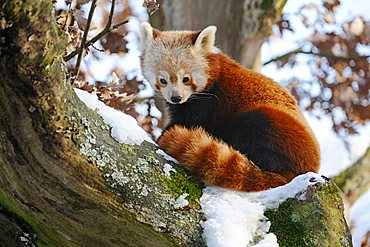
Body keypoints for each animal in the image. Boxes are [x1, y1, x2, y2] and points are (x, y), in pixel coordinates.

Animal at [140, 22, 320, 192]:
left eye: (185, 79)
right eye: (163, 80)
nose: (176, 98)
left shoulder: (208, 104)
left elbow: (186, 122)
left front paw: (160, 136)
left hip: (271, 125)